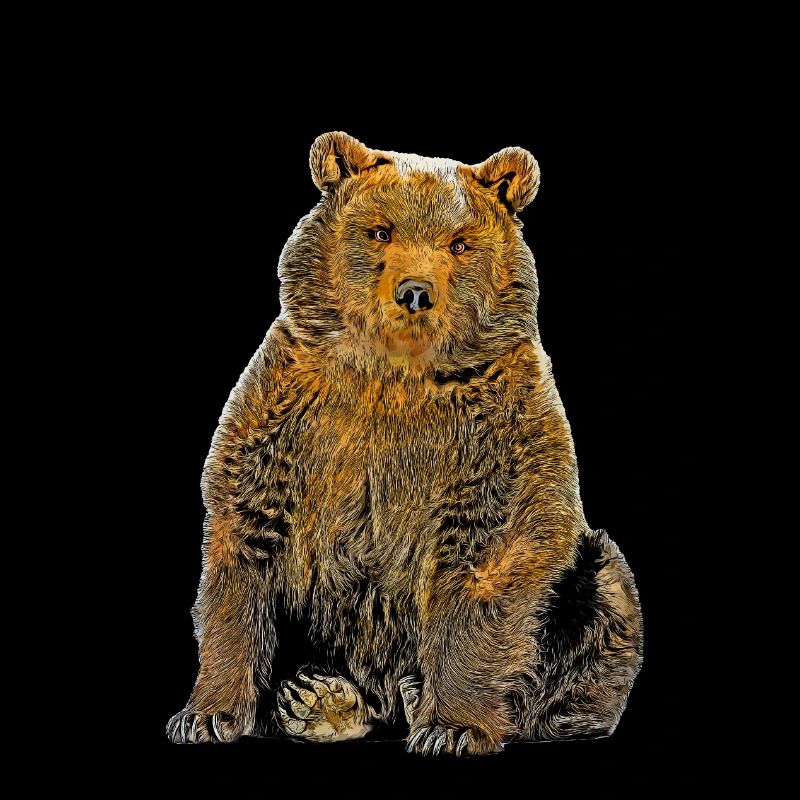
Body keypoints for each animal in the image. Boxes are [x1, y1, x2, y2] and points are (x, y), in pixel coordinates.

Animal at [166, 131, 643, 755]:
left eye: (459, 243)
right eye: (381, 230)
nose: (415, 292)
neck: (394, 371)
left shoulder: (495, 434)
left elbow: (487, 557)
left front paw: (454, 725)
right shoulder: (290, 418)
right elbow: (243, 553)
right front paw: (205, 715)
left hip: (585, 582)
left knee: (601, 597)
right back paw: (319, 698)